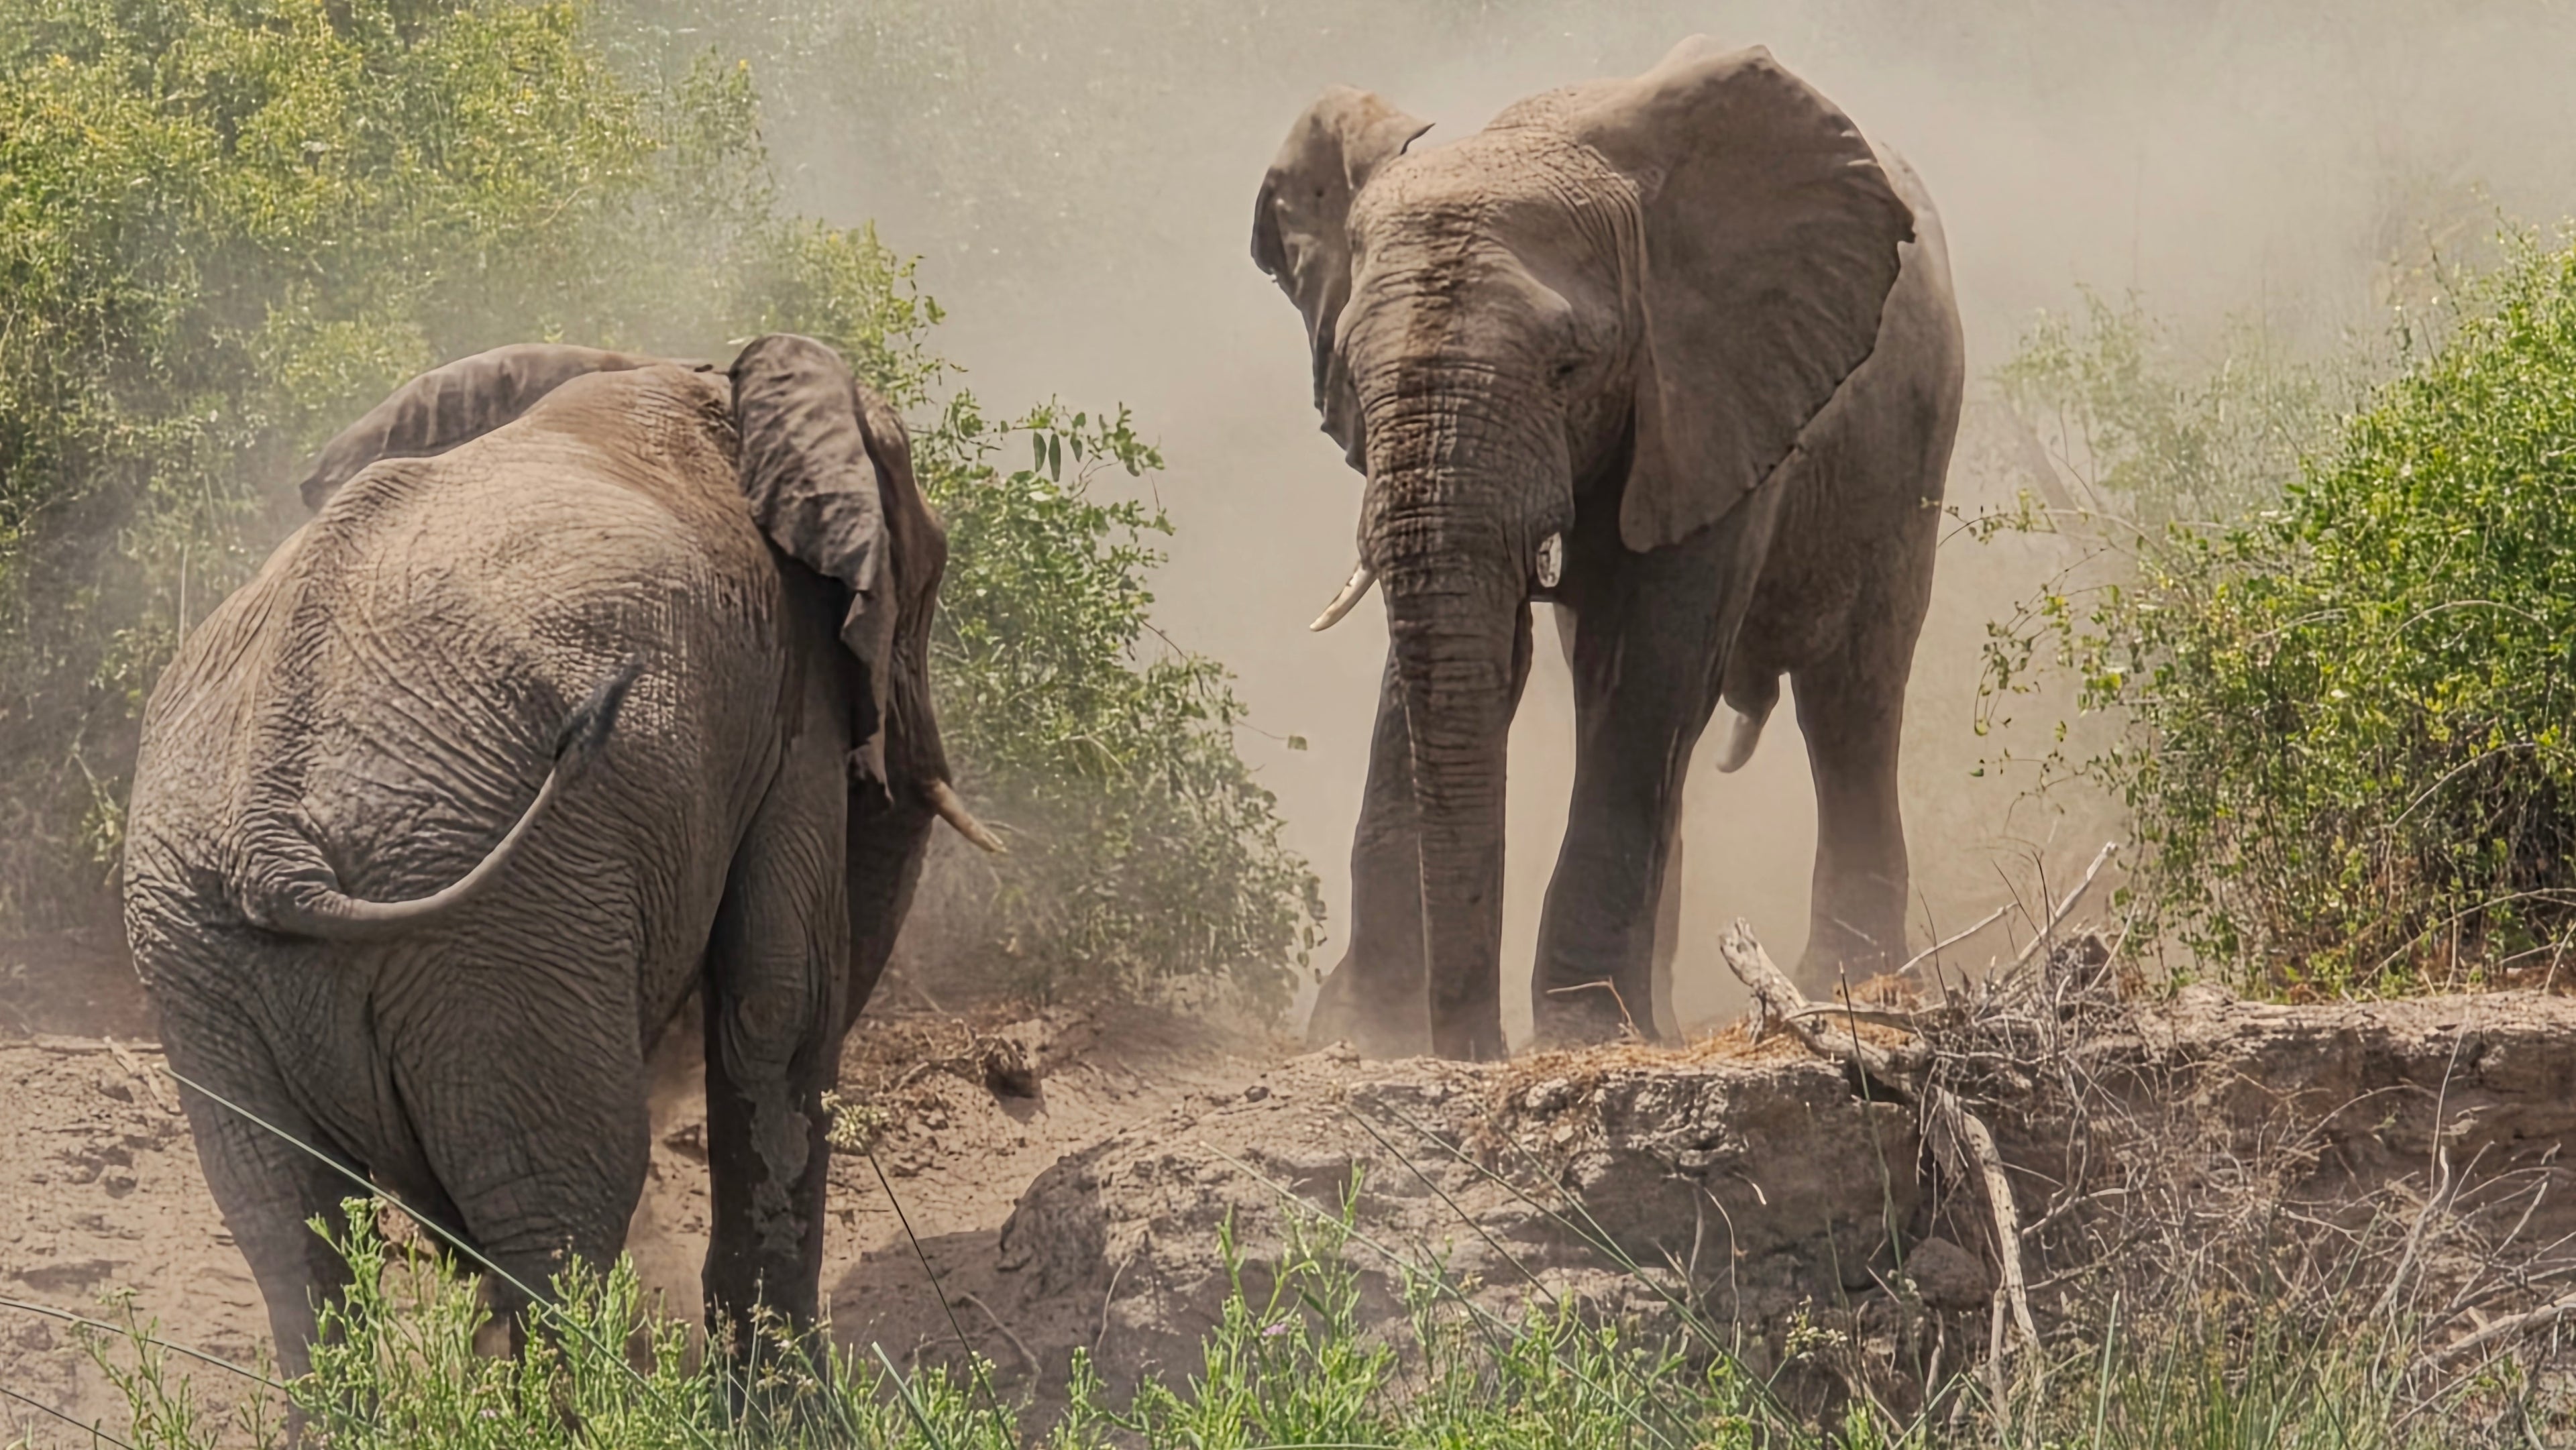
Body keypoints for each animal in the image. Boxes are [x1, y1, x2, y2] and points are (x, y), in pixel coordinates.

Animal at [120, 335, 1000, 1376]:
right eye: (931, 578)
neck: (696, 376)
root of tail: (272, 840)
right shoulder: (792, 690)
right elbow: (780, 1000)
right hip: (502, 941)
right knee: (564, 1213)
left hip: (201, 953)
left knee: (289, 1232)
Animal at [1253, 38, 1964, 1059]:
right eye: (1348, 370)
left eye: (1568, 367)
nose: (1475, 1046)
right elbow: (1459, 661)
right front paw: (1369, 1035)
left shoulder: (1710, 387)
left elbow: (1649, 667)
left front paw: (1583, 1031)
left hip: (1913, 438)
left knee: (1851, 697)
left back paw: (1847, 984)